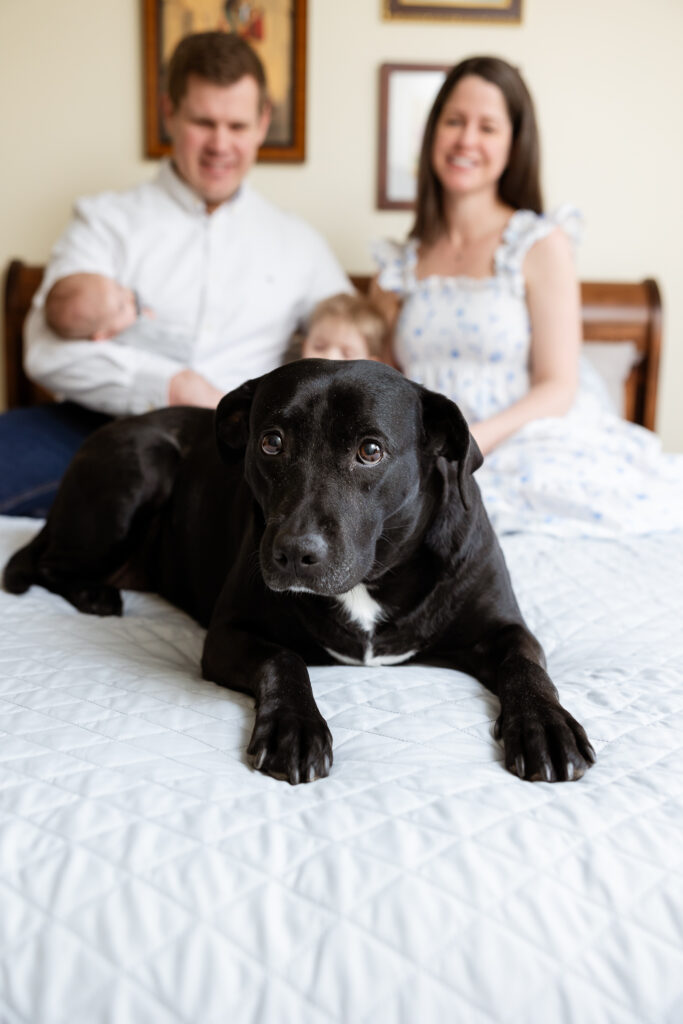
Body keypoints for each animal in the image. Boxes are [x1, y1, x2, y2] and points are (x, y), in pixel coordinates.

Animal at [2, 360, 593, 782]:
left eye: (370, 450)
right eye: (271, 442)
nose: (292, 552)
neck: (374, 579)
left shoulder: (504, 629)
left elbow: (526, 666)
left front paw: (545, 725)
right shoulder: (228, 634)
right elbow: (284, 658)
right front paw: (295, 727)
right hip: (139, 471)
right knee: (46, 562)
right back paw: (95, 594)